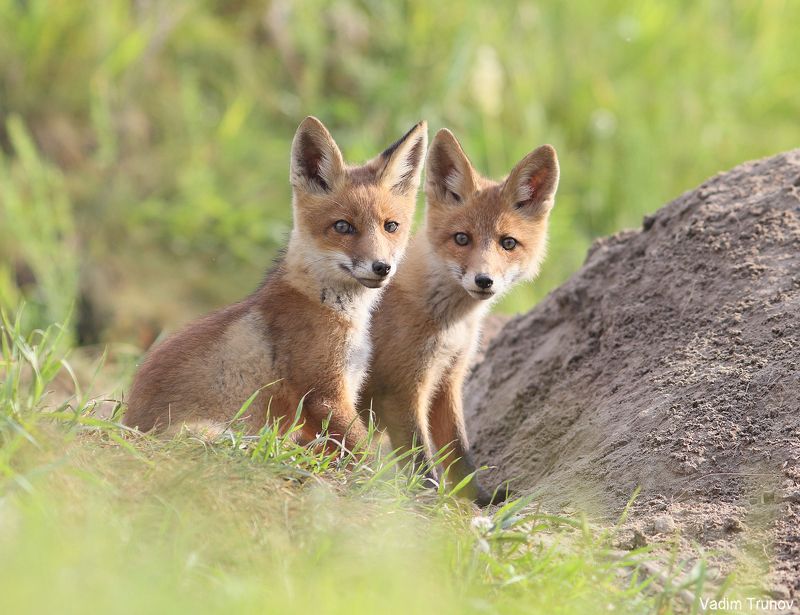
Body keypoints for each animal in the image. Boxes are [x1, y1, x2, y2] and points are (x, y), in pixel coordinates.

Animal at [124, 116, 428, 449]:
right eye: (343, 226)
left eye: (391, 226)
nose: (382, 267)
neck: (327, 304)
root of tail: (128, 425)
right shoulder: (325, 394)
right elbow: (366, 454)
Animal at [362, 128, 559, 505]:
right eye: (462, 238)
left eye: (508, 243)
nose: (484, 280)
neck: (450, 324)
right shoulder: (402, 389)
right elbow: (421, 461)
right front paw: (427, 505)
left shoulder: (447, 380)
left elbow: (460, 453)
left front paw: (479, 500)